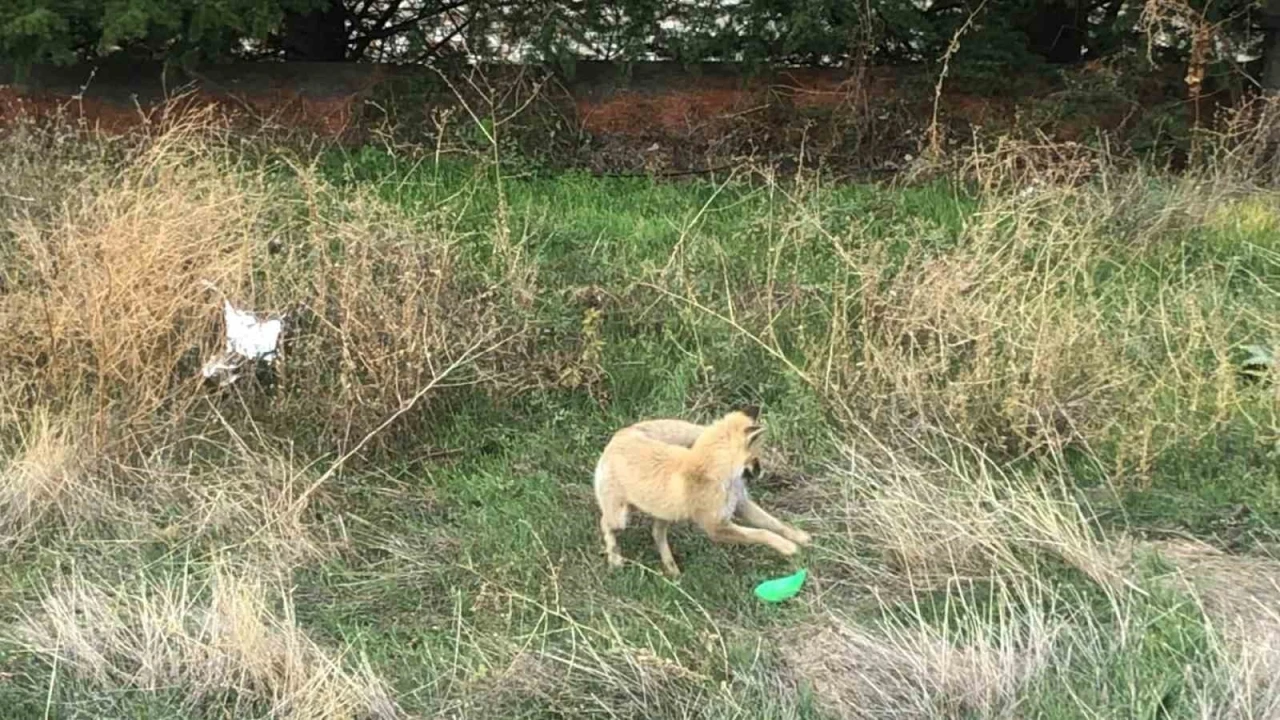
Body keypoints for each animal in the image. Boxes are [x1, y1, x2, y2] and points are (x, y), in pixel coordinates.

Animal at [596, 407, 814, 573]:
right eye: (756, 457)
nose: (762, 473)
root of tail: (621, 434)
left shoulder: (740, 504)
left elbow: (775, 524)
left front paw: (799, 537)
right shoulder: (716, 528)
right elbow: (761, 533)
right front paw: (786, 546)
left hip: (666, 514)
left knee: (656, 533)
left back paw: (672, 568)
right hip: (621, 518)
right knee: (605, 524)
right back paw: (615, 558)